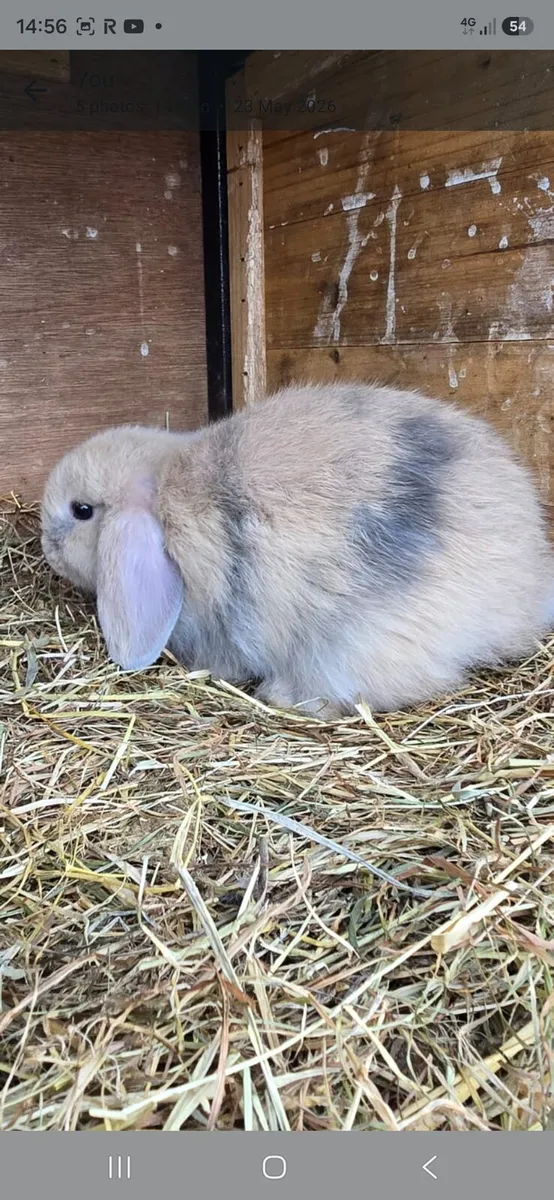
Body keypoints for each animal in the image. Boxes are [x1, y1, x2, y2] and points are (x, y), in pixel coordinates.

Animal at [41, 382, 554, 717]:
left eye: (82, 510)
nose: (47, 547)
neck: (165, 491)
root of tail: (522, 596)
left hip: (350, 646)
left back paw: (281, 694)